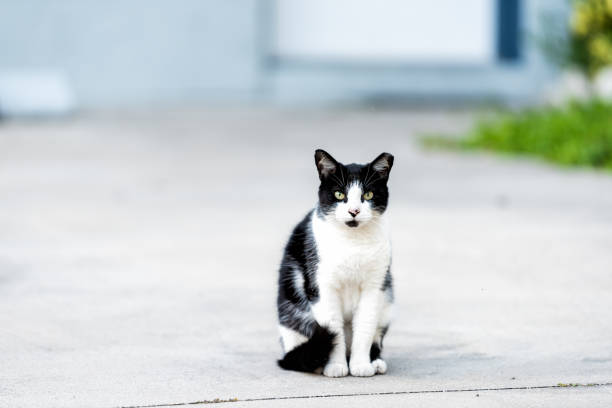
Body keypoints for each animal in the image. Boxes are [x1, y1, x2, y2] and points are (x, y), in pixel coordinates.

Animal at [276, 149, 392, 376]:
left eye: (368, 195)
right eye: (339, 194)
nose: (354, 211)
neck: (353, 242)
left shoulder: (375, 287)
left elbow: (365, 326)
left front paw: (361, 365)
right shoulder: (322, 286)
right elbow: (333, 329)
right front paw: (336, 366)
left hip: (387, 303)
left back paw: (376, 361)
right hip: (289, 312)